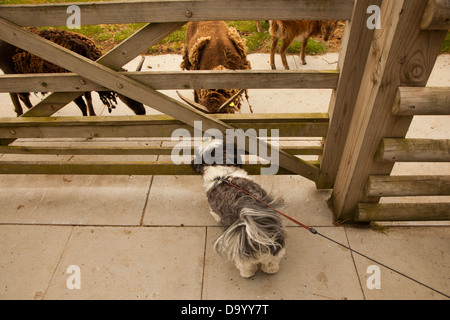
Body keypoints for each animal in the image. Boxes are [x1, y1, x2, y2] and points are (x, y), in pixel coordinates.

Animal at [0, 28, 144, 116]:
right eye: (129, 96)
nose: (142, 111)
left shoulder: (83, 80)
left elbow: (88, 97)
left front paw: (92, 115)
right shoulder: (71, 85)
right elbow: (82, 105)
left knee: (13, 92)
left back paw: (19, 112)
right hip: (11, 70)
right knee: (22, 95)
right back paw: (27, 114)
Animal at [191, 140, 284, 278]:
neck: (222, 175)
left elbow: (214, 213)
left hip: (240, 253)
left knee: (245, 266)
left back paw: (246, 273)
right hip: (275, 247)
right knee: (272, 261)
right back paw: (271, 269)